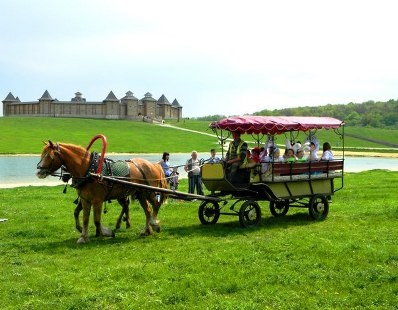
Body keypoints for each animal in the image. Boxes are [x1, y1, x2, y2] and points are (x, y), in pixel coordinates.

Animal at [35, 141, 168, 245]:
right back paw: (146, 230)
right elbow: (85, 218)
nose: (39, 172)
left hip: (149, 191)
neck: (89, 170)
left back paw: (153, 223)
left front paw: (106, 232)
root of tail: (154, 165)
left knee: (155, 206)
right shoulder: (85, 200)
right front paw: (83, 237)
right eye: (42, 154)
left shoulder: (97, 200)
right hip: (141, 194)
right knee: (148, 210)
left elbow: (96, 220)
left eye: (50, 156)